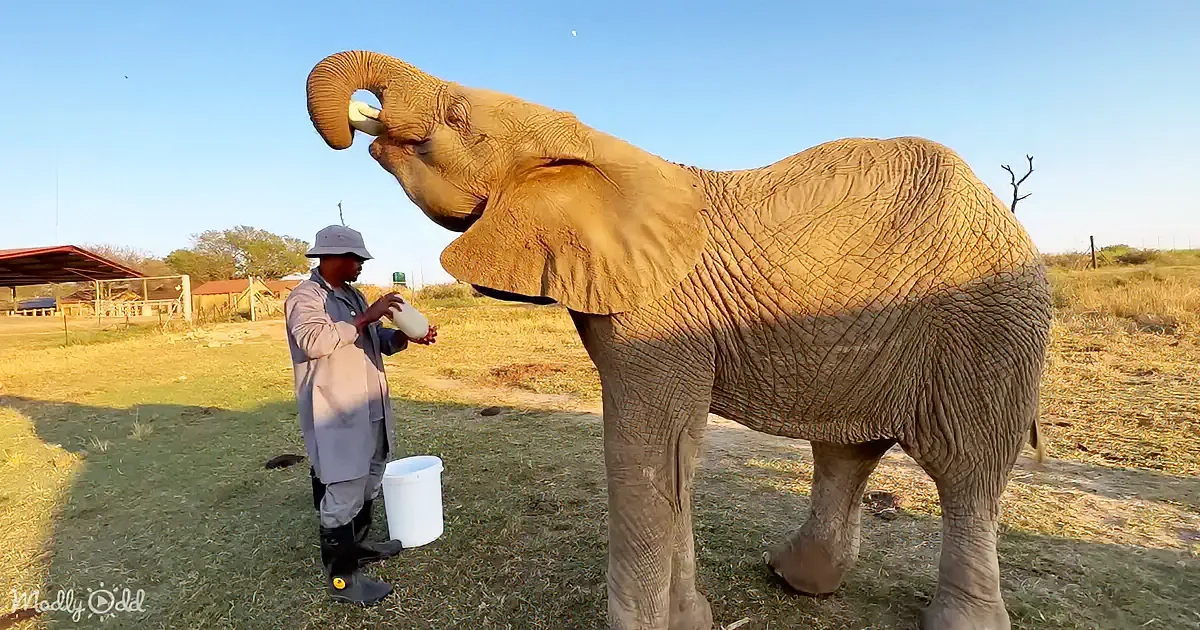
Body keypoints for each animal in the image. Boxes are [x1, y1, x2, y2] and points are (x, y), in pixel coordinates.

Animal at [304, 50, 1052, 630]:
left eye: (457, 115)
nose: (348, 129)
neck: (590, 145)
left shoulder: (660, 314)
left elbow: (646, 447)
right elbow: (676, 457)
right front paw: (692, 620)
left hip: (987, 326)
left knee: (966, 470)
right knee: (847, 451)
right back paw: (796, 579)